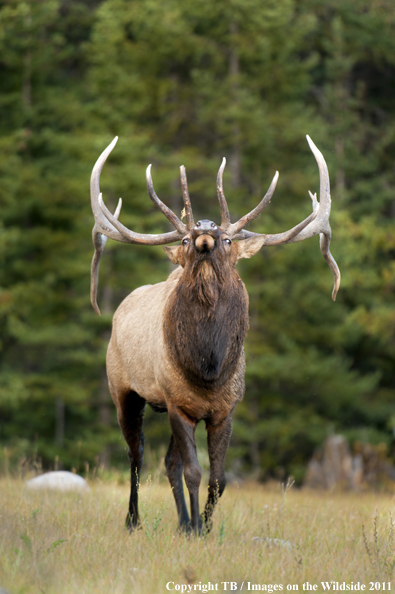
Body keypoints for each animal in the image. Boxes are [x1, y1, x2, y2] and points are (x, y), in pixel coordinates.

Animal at [89, 136, 340, 536]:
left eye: (227, 240)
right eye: (186, 240)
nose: (205, 227)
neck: (209, 368)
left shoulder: (225, 409)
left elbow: (218, 479)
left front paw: (203, 528)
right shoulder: (178, 404)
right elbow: (194, 472)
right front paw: (195, 528)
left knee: (167, 462)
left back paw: (179, 522)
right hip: (124, 390)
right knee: (136, 455)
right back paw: (133, 521)